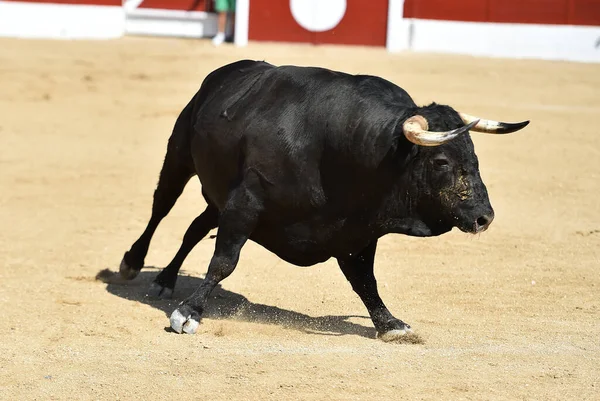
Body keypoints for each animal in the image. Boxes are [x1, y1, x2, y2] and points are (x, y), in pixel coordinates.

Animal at [117, 60, 528, 340]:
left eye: (473, 154)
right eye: (441, 161)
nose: (484, 217)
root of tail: (223, 73)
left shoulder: (357, 233)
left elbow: (365, 281)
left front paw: (391, 324)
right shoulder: (245, 204)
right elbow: (223, 262)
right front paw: (188, 313)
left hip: (218, 198)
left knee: (194, 228)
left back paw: (166, 279)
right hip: (179, 157)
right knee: (161, 208)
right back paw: (133, 264)